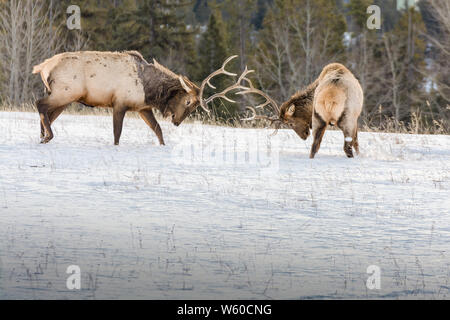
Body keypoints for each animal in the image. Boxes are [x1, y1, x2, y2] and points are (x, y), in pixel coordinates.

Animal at [32, 51, 243, 145]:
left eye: (194, 108)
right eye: (188, 101)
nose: (176, 121)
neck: (150, 91)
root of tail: (42, 67)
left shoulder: (142, 107)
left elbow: (158, 130)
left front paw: (163, 146)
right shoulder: (119, 103)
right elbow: (117, 133)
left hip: (64, 96)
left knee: (47, 115)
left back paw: (42, 137)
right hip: (65, 92)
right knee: (40, 105)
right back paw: (47, 137)